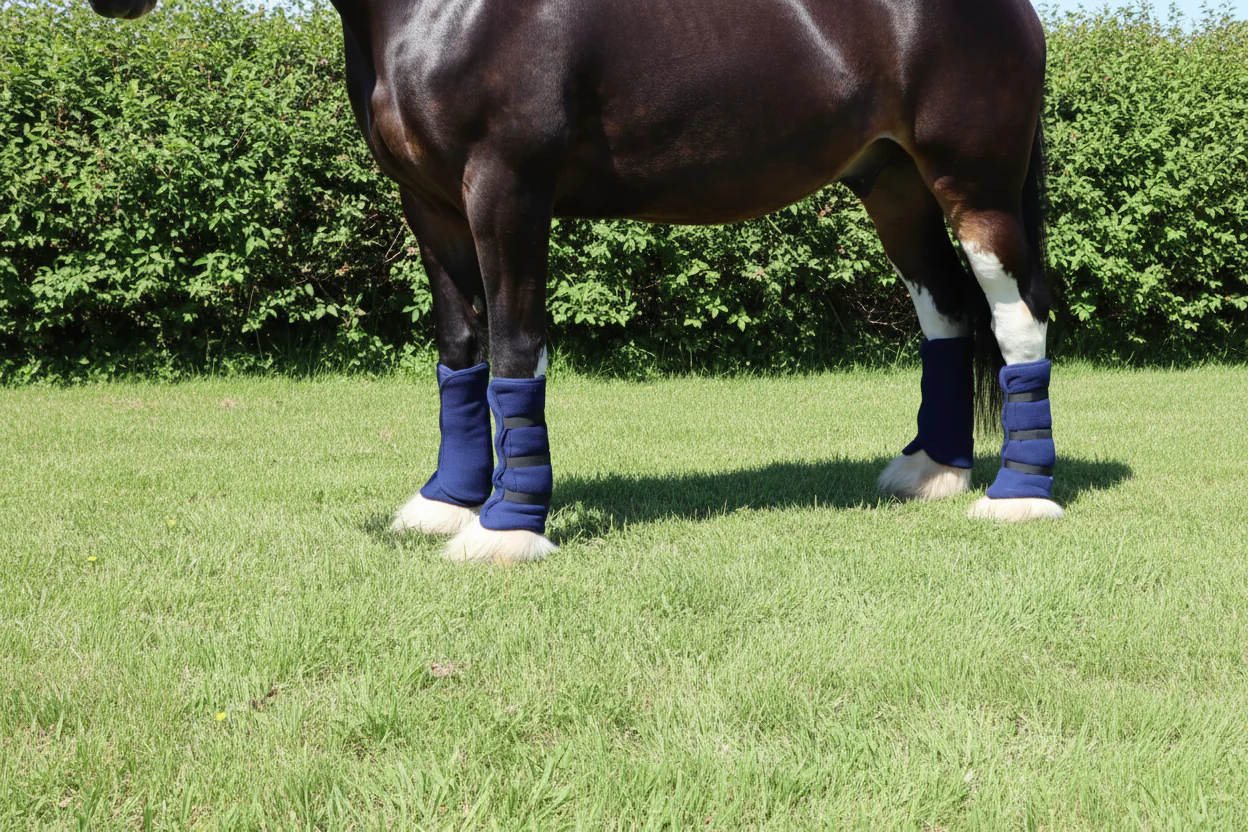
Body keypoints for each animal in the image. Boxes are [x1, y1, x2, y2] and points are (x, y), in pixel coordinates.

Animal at [89, 0, 1063, 563]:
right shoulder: (427, 202)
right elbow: (462, 349)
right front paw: (446, 504)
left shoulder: (507, 188)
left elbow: (517, 346)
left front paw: (509, 527)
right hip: (891, 181)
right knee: (946, 314)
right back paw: (931, 471)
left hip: (975, 187)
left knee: (1018, 321)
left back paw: (1018, 498)